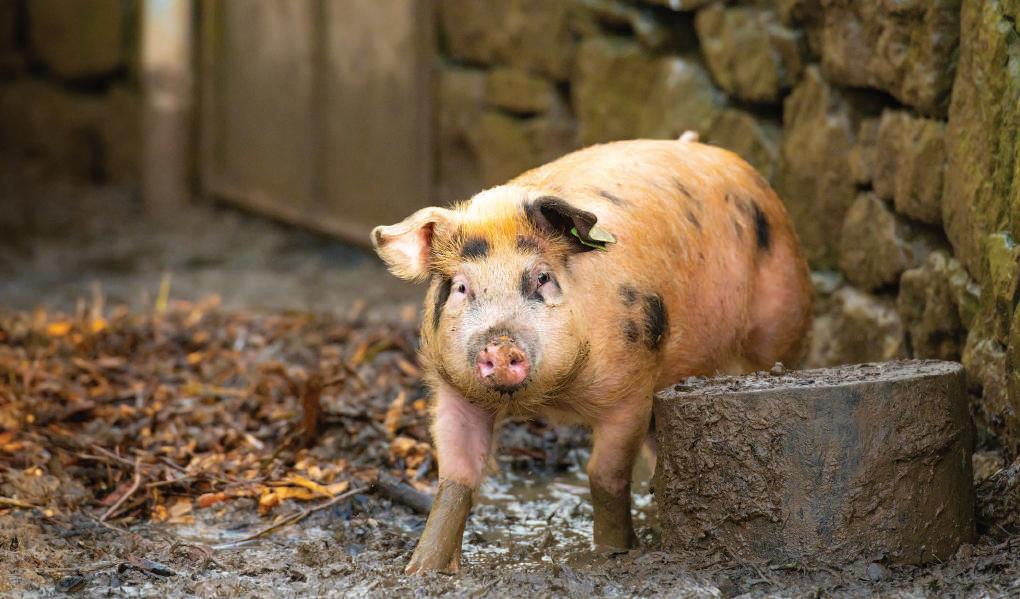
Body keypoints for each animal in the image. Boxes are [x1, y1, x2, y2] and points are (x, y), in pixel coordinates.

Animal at [371, 136, 812, 574]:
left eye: (542, 278)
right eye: (461, 287)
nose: (500, 344)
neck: (553, 400)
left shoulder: (631, 387)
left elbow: (605, 474)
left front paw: (612, 554)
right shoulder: (453, 390)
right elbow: (456, 478)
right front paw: (419, 571)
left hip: (781, 319)